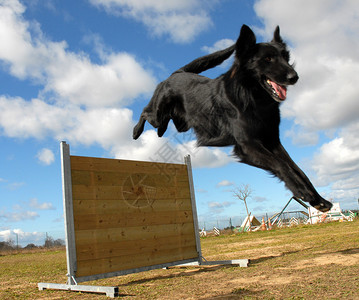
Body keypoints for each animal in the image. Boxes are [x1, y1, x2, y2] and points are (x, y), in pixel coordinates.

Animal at [134, 25, 334, 213]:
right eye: (268, 59)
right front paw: (304, 193)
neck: (254, 99)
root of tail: (176, 73)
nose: (294, 77)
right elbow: (282, 166)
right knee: (145, 112)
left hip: (180, 123)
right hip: (158, 114)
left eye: (286, 57)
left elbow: (298, 170)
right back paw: (136, 132)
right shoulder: (247, 145)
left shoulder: (272, 141)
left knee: (163, 123)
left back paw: (160, 132)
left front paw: (319, 199)